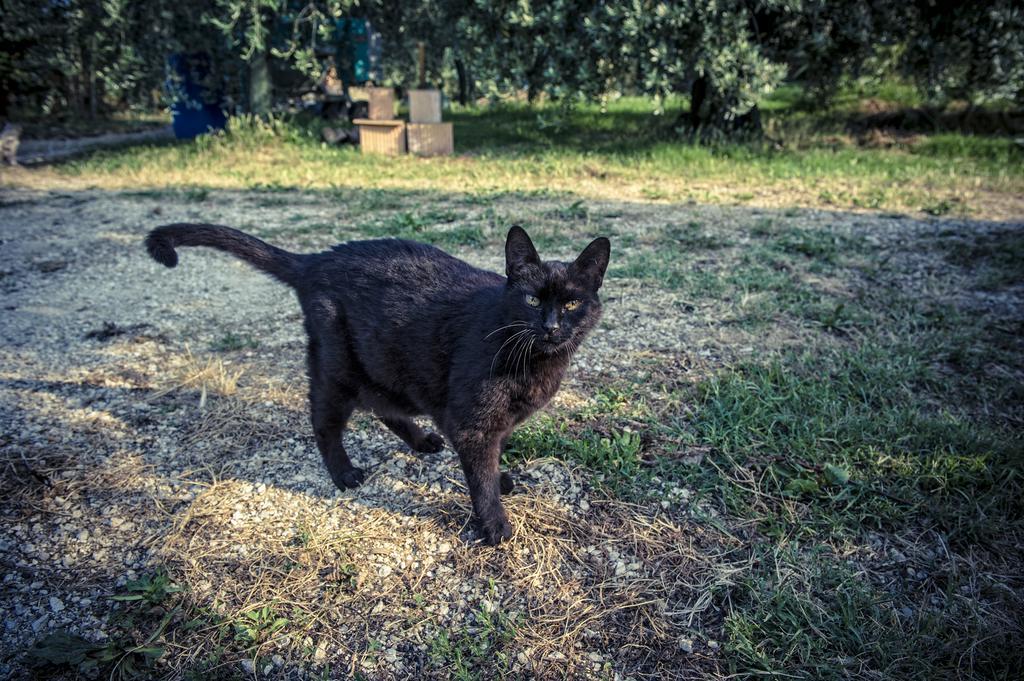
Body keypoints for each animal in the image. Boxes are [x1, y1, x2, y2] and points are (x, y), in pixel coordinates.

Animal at [144, 222, 606, 540]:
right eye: (531, 300)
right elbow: (480, 473)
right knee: (324, 421)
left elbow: (497, 450)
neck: (536, 362)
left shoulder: (497, 420)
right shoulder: (471, 422)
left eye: (571, 303)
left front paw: (501, 477)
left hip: (391, 366)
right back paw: (344, 473)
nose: (551, 327)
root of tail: (315, 259)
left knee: (384, 407)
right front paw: (493, 525)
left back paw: (422, 441)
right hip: (337, 367)